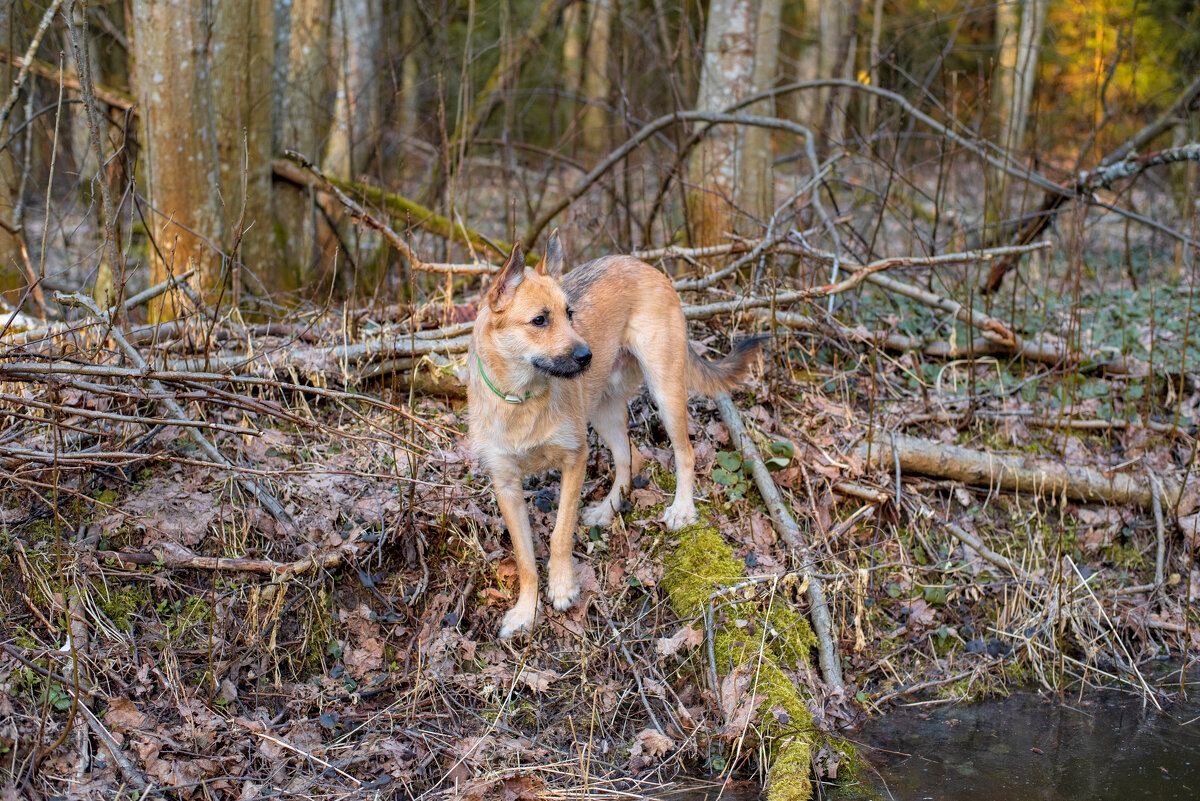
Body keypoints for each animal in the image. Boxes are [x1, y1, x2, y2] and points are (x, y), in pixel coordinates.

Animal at [468, 231, 758, 637]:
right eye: (539, 320)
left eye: (570, 314)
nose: (587, 356)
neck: (521, 398)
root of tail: (643, 264)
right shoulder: (506, 484)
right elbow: (524, 557)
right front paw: (526, 610)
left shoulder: (575, 458)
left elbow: (560, 533)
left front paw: (562, 586)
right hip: (603, 412)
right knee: (628, 459)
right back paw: (609, 509)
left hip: (665, 389)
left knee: (685, 453)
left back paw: (681, 510)